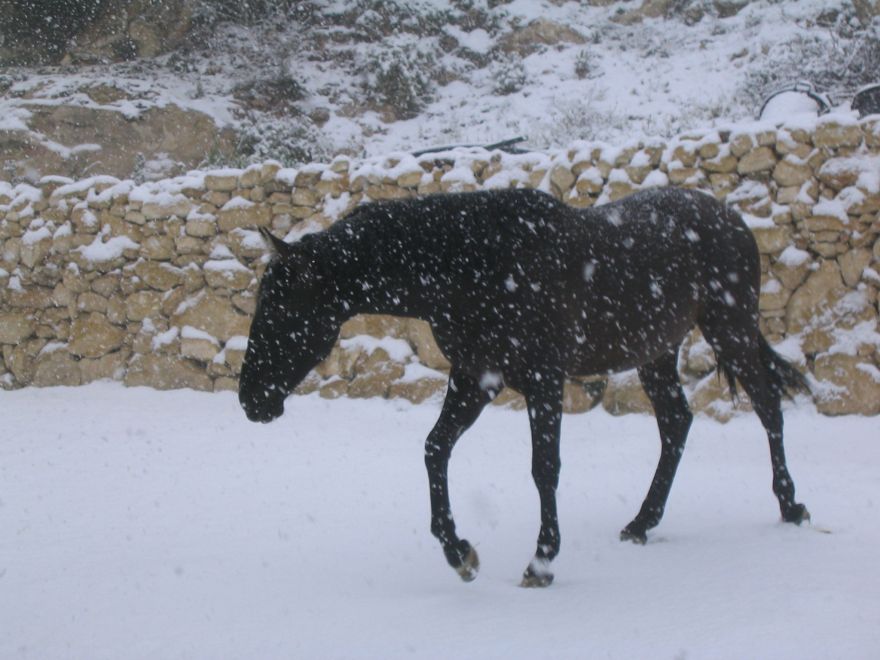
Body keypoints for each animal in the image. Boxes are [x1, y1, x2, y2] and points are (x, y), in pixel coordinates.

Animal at [237, 187, 808, 588]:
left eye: (283, 308)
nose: (250, 400)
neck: (474, 264)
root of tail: (730, 217)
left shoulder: (542, 380)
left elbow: (544, 468)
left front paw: (542, 561)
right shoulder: (476, 380)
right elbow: (434, 449)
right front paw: (459, 552)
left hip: (729, 327)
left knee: (767, 406)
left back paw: (790, 506)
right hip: (656, 352)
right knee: (675, 424)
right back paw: (642, 522)